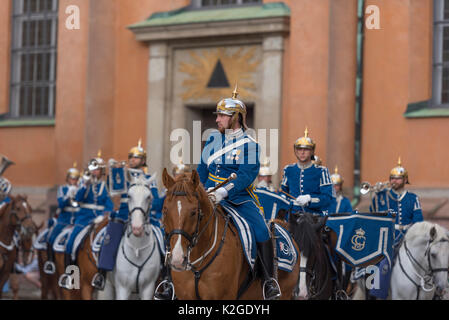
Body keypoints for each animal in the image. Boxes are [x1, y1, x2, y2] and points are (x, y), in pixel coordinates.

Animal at [98, 172, 161, 300]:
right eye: (129, 196)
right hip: (107, 287)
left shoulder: (148, 288)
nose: (137, 227)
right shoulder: (122, 288)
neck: (137, 248)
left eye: (149, 197)